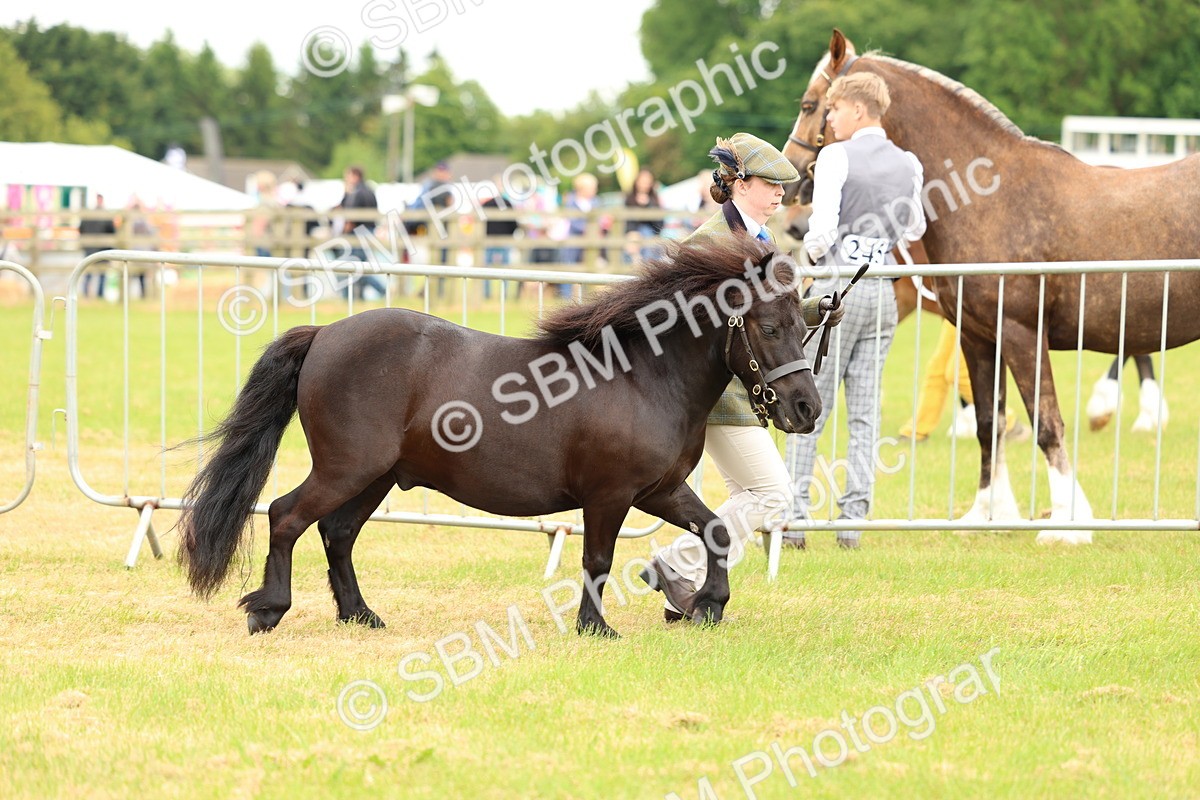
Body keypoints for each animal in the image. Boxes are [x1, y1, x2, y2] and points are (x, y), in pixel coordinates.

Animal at [176, 237, 822, 636]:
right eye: (769, 327)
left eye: (805, 322)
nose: (807, 408)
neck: (642, 376)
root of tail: (326, 332)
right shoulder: (610, 496)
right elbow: (598, 557)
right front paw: (596, 627)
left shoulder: (658, 491)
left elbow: (715, 529)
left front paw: (706, 605)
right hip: (346, 469)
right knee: (285, 516)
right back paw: (268, 610)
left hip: (376, 478)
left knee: (337, 533)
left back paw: (360, 615)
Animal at [781, 29, 1200, 544]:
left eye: (809, 104)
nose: (791, 178)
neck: (990, 197)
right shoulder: (979, 337)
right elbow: (988, 423)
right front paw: (988, 513)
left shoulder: (1022, 334)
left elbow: (1046, 423)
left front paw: (1067, 524)